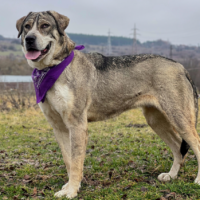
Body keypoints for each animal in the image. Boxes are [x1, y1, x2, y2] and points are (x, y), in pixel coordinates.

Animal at [16, 10, 199, 198]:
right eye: (27, 27)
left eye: (45, 25)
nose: (29, 39)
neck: (55, 68)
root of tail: (181, 66)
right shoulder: (59, 127)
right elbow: (68, 162)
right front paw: (68, 188)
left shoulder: (77, 125)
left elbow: (76, 163)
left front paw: (72, 191)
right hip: (156, 120)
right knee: (178, 148)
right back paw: (171, 175)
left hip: (180, 120)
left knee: (195, 145)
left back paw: (198, 180)